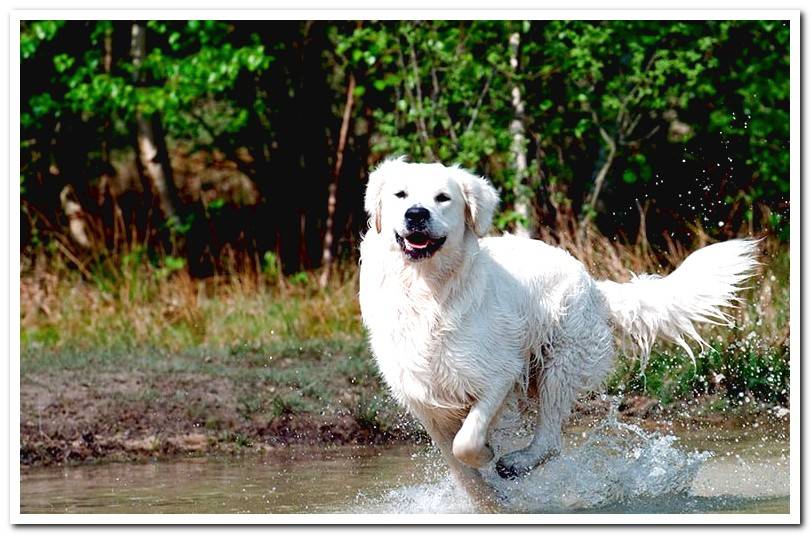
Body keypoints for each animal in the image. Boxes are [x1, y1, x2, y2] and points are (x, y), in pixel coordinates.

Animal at [358, 158, 760, 510]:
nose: (416, 214)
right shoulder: (422, 399)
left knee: (550, 440)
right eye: (400, 195)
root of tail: (594, 286)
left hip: (559, 365)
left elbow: (467, 443)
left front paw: (490, 456)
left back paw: (517, 462)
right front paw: (489, 502)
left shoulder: (499, 374)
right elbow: (459, 466)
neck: (428, 292)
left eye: (443, 197)